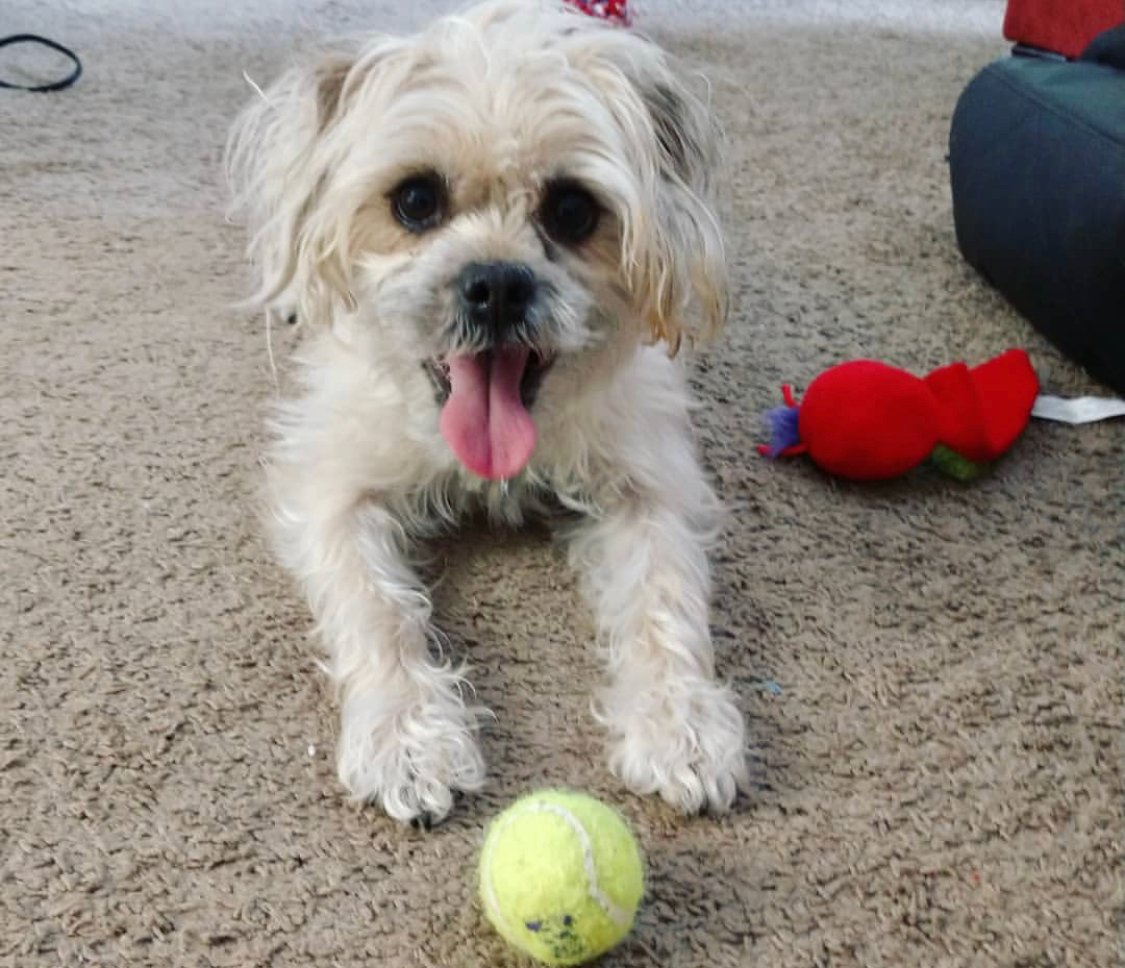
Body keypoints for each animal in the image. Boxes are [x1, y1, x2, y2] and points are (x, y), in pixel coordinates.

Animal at [227, 0, 747, 828]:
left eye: (571, 210)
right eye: (415, 201)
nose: (498, 284)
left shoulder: (647, 484)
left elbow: (664, 600)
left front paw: (681, 723)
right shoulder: (336, 491)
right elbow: (376, 607)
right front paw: (406, 736)